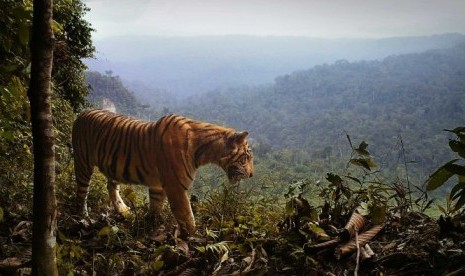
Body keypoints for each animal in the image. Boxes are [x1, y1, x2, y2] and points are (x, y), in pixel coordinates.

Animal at [71, 110, 254, 237]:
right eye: (246, 157)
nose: (252, 175)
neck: (204, 151)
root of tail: (82, 113)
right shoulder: (176, 187)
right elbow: (187, 216)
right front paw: (194, 238)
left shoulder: (158, 186)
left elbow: (155, 206)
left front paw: (150, 225)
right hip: (83, 164)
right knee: (81, 193)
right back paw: (83, 218)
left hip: (113, 168)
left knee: (110, 186)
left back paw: (124, 211)